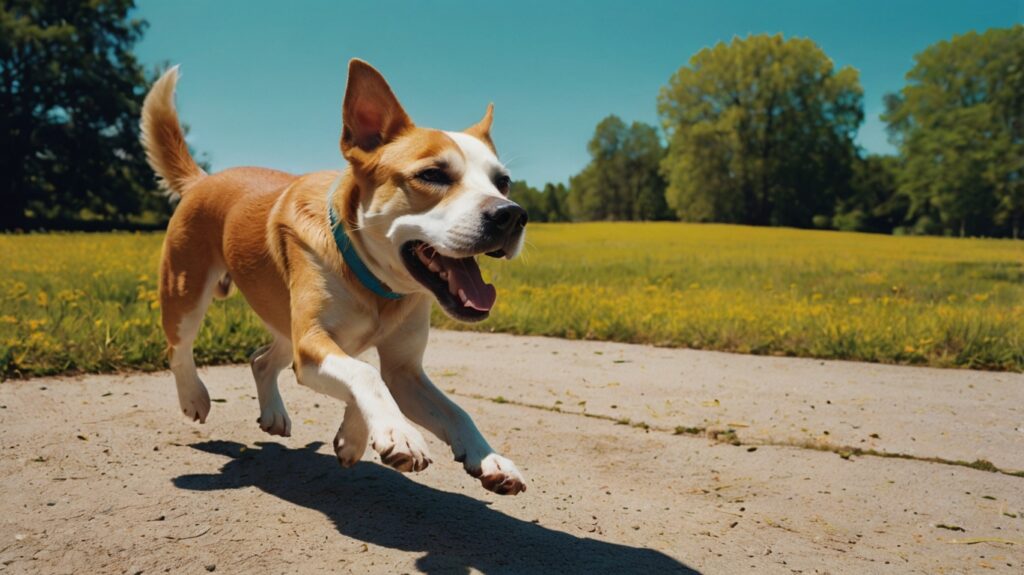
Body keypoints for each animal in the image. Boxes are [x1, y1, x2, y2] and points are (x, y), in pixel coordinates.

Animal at [140, 60, 528, 495]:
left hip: (284, 321)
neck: (377, 285)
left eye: (503, 182)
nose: (512, 214)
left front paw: (488, 457)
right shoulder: (313, 344)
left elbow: (451, 409)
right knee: (178, 346)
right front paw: (400, 433)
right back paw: (194, 397)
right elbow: (366, 373)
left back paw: (274, 412)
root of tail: (203, 179)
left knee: (261, 360)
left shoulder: (402, 370)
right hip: (186, 290)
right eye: (432, 174)